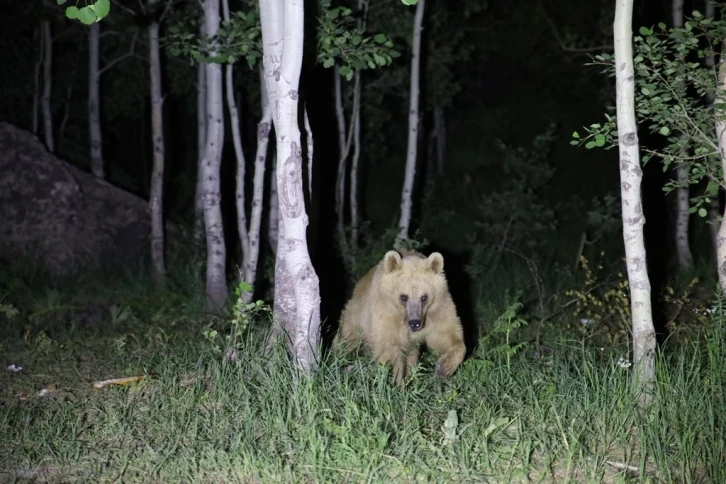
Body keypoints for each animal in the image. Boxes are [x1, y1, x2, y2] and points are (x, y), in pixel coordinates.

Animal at [334, 250, 466, 386]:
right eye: (403, 297)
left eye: (424, 297)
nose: (415, 323)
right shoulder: (386, 312)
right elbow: (389, 348)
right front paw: (395, 381)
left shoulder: (437, 310)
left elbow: (447, 336)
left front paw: (444, 367)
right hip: (356, 318)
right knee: (348, 340)